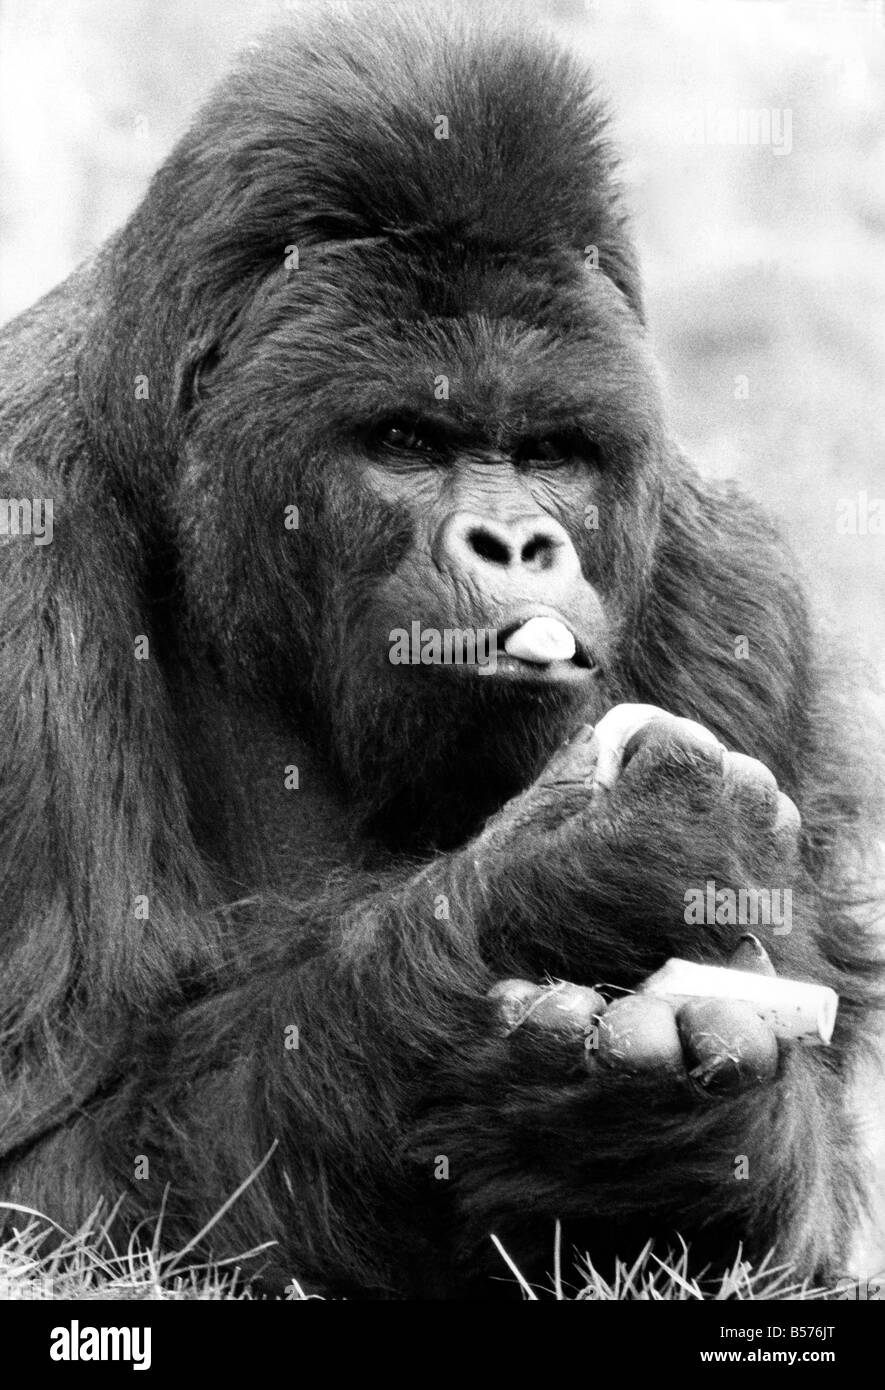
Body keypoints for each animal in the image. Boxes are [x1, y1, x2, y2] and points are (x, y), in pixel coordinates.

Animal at [0, 5, 878, 1295]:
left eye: (552, 450)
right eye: (407, 440)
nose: (516, 543)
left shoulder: (736, 590)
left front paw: (644, 1136)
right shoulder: (21, 542)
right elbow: (53, 1146)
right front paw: (572, 877)